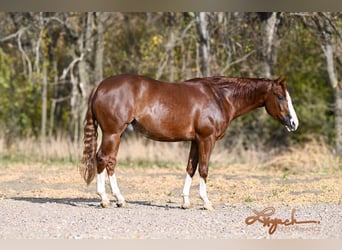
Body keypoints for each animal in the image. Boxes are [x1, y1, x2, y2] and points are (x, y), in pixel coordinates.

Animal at [79, 73, 296, 209]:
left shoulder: (195, 141)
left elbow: (191, 167)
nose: (294, 123)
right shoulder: (207, 140)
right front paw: (206, 202)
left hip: (117, 134)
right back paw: (105, 199)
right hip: (112, 133)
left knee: (110, 161)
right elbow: (204, 169)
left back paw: (119, 199)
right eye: (280, 96)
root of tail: (100, 86)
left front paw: (186, 202)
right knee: (102, 158)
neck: (219, 97)